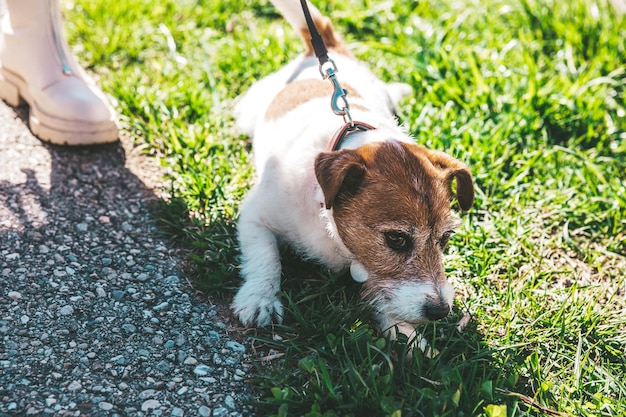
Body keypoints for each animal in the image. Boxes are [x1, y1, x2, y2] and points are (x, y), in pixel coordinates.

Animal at [230, 0, 472, 342]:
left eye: (446, 237)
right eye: (397, 239)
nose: (440, 311)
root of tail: (326, 50)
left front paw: (408, 338)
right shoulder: (255, 216)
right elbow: (266, 257)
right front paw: (260, 298)